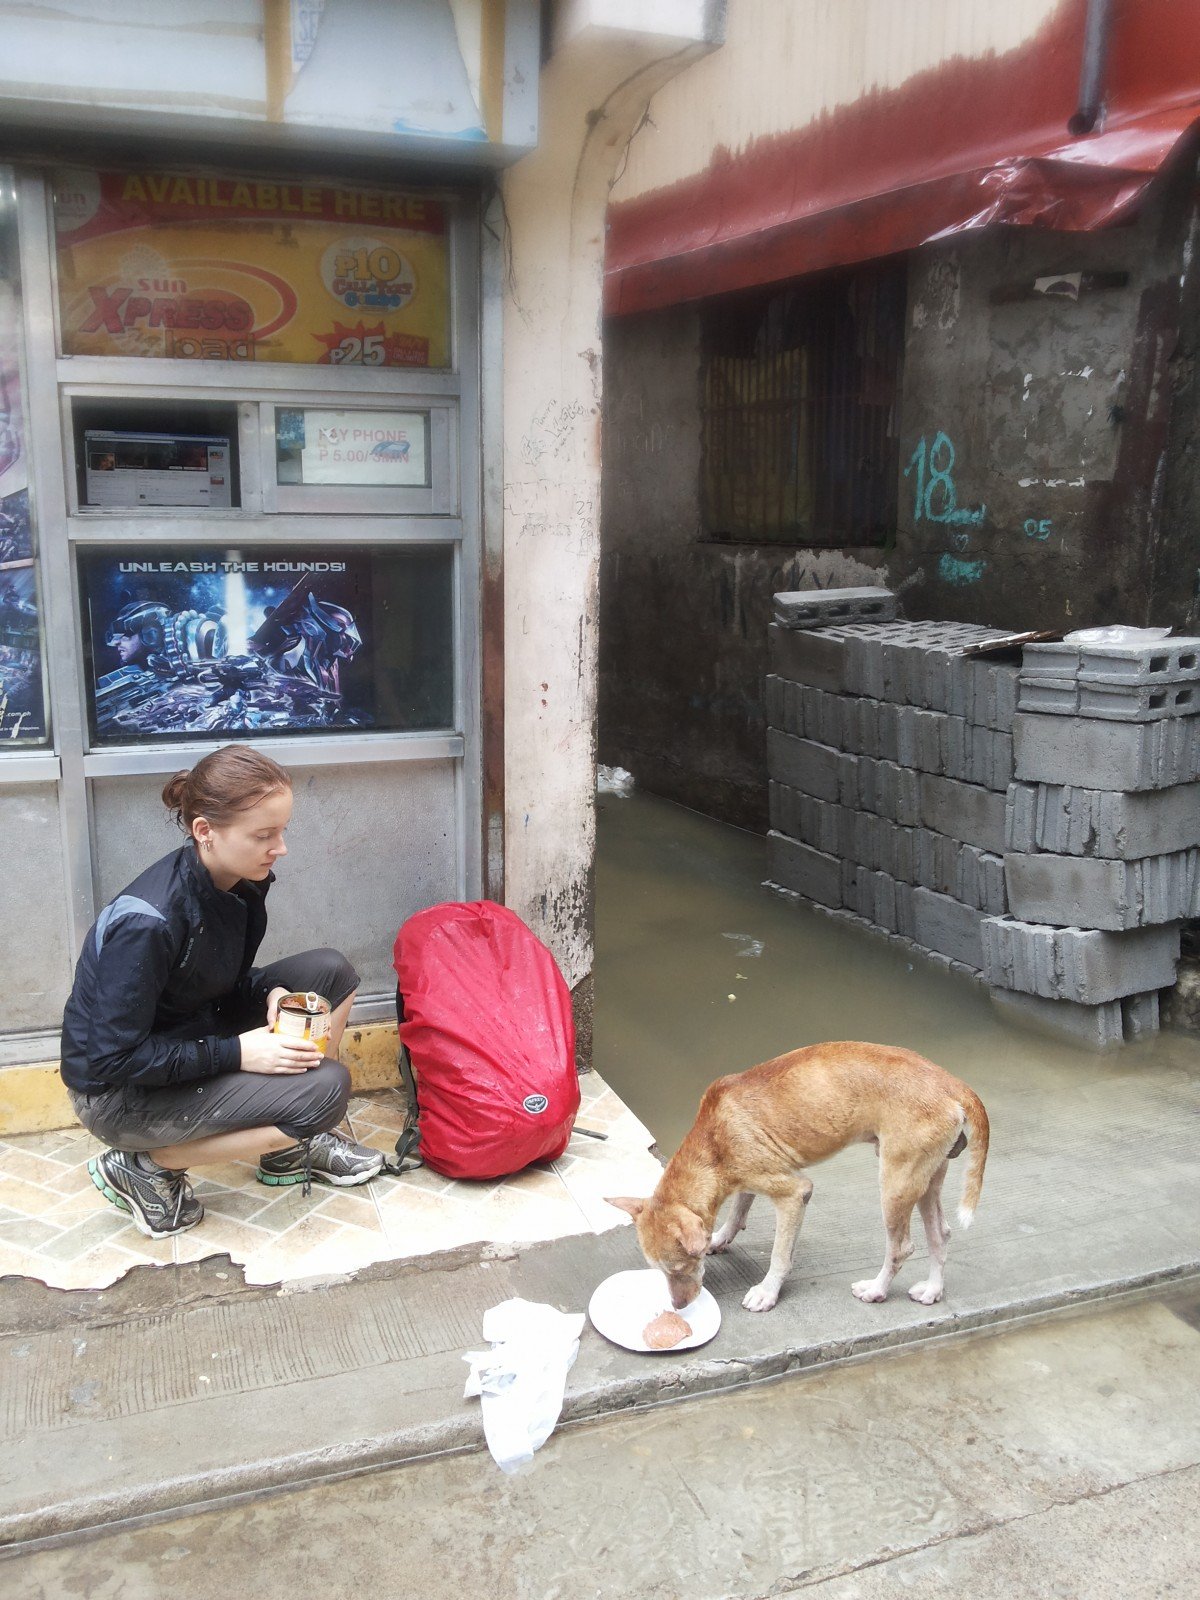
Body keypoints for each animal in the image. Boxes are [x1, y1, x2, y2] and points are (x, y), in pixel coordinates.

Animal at [604, 1036, 992, 1312]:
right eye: (658, 1270)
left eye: (678, 1268)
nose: (678, 1306)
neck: (712, 1143)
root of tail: (953, 1083)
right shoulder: (749, 1179)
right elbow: (737, 1212)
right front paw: (719, 1238)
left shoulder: (794, 1193)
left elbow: (779, 1255)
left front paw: (766, 1292)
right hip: (926, 1179)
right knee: (940, 1234)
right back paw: (933, 1291)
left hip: (896, 1184)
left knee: (901, 1248)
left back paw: (876, 1290)